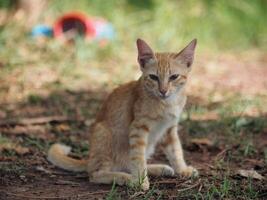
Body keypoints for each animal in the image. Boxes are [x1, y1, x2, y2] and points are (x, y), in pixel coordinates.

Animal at [48, 38, 199, 190]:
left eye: (174, 77)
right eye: (153, 77)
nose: (163, 91)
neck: (167, 103)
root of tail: (89, 160)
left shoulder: (169, 129)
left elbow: (175, 150)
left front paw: (182, 169)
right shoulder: (138, 129)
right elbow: (138, 158)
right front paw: (140, 182)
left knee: (127, 165)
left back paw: (157, 169)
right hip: (103, 135)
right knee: (97, 174)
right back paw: (127, 178)